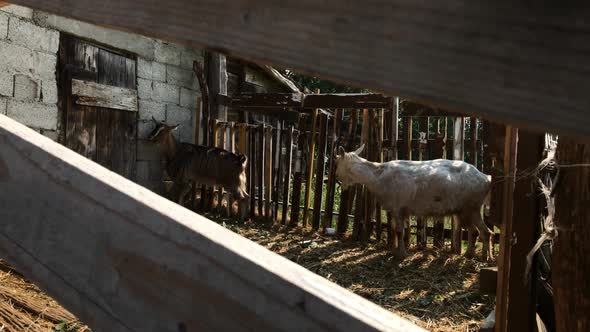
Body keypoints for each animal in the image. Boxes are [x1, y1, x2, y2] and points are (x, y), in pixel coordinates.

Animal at [338, 145, 494, 260]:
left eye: (336, 161)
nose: (338, 180)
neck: (379, 177)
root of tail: (486, 178)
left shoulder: (398, 206)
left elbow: (399, 230)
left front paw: (401, 254)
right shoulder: (397, 209)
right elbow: (396, 229)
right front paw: (395, 251)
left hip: (472, 206)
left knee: (486, 232)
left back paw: (486, 258)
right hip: (464, 210)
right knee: (474, 231)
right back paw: (469, 254)